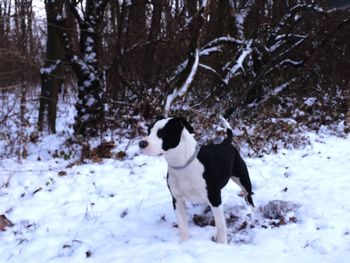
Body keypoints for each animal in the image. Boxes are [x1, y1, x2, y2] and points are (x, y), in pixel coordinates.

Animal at [139, 117, 254, 245]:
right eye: (149, 131)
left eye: (162, 132)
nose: (142, 143)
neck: (182, 164)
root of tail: (225, 143)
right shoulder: (177, 200)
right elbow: (183, 226)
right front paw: (184, 243)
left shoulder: (214, 198)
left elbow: (220, 225)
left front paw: (222, 244)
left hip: (243, 179)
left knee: (249, 197)